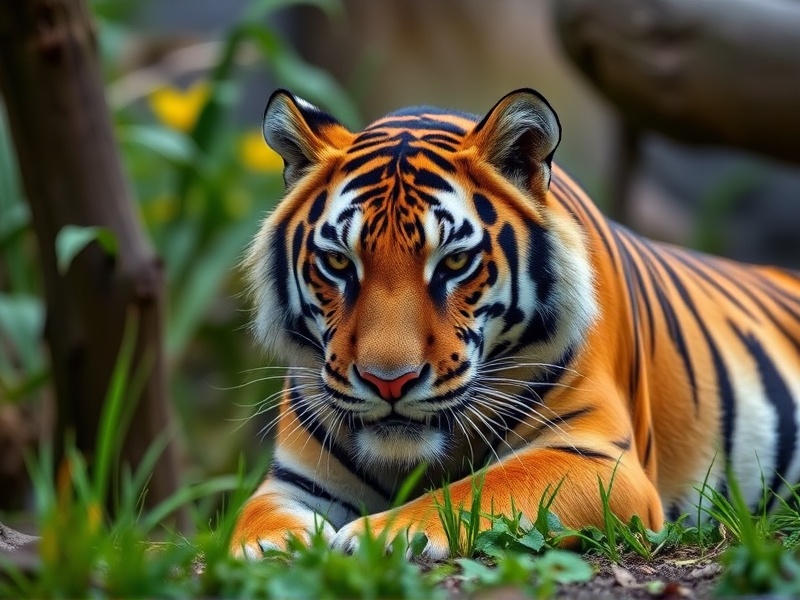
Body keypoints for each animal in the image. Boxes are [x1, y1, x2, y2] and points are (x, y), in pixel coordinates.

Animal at [231, 87, 800, 560]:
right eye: (338, 263)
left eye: (455, 263)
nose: (388, 382)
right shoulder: (294, 480)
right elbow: (252, 520)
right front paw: (270, 548)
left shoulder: (600, 459)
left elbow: (483, 488)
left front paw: (380, 534)